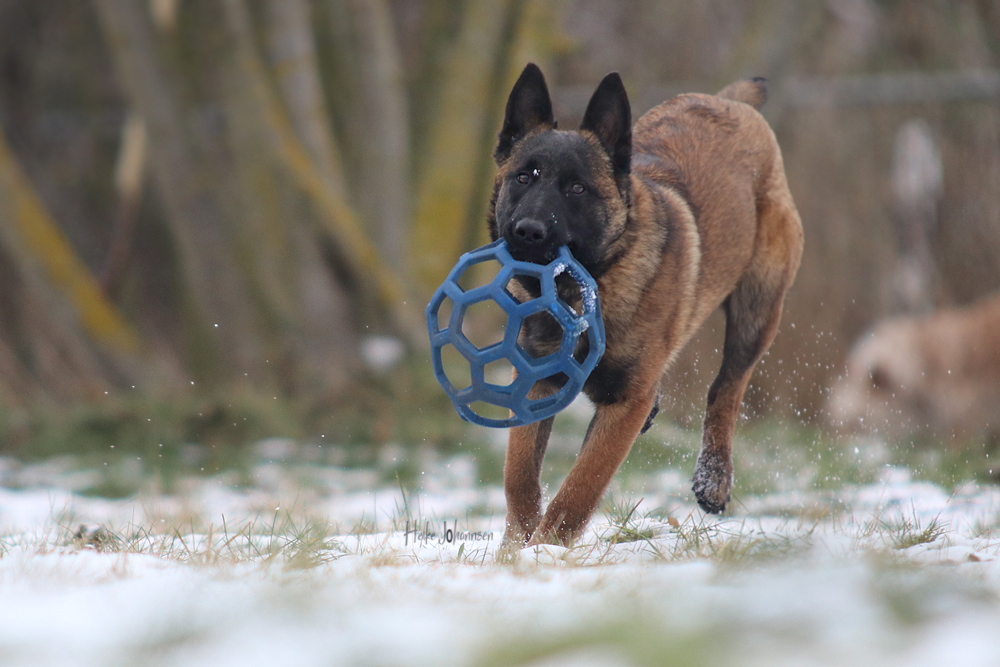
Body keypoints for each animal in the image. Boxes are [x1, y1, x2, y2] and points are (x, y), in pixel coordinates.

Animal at [489, 64, 803, 546]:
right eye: (524, 177)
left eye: (577, 188)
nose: (528, 231)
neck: (583, 296)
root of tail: (730, 103)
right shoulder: (536, 383)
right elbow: (518, 478)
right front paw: (516, 548)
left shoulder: (624, 406)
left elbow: (580, 489)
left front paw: (546, 550)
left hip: (758, 310)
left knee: (727, 387)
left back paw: (714, 477)